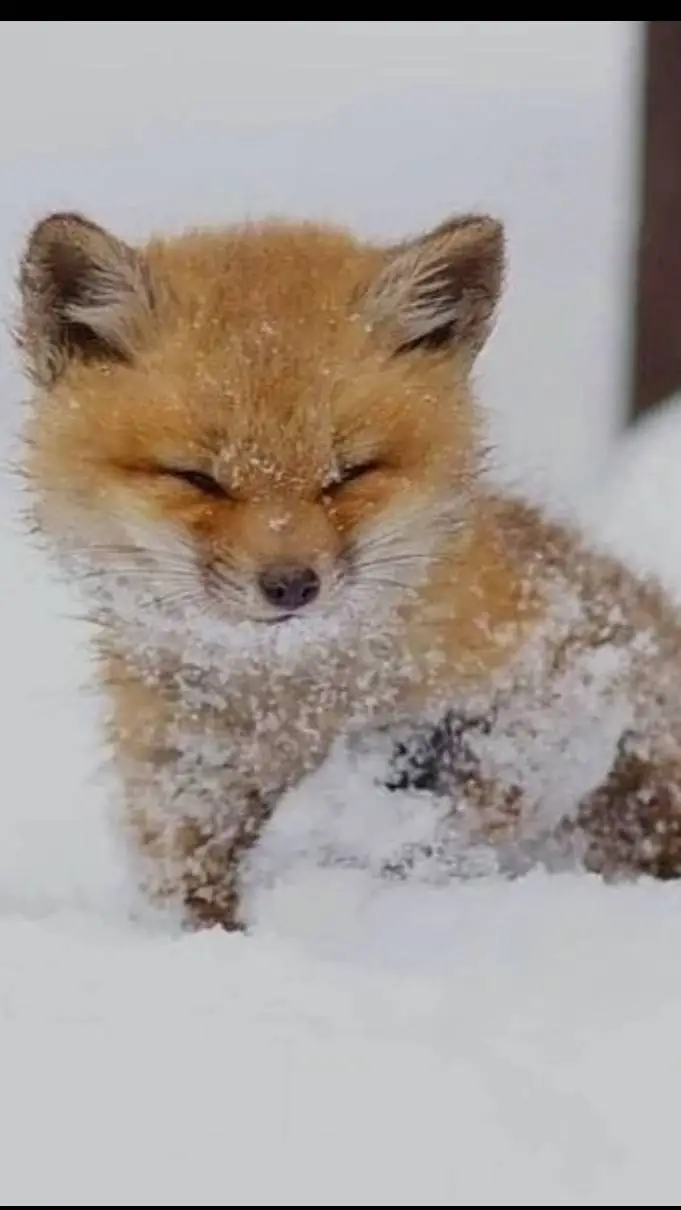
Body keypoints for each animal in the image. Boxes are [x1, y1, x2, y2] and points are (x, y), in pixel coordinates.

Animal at [15, 208, 681, 930]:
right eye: (197, 478)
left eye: (349, 473)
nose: (290, 585)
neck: (294, 716)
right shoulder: (184, 803)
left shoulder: (570, 679)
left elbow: (476, 791)